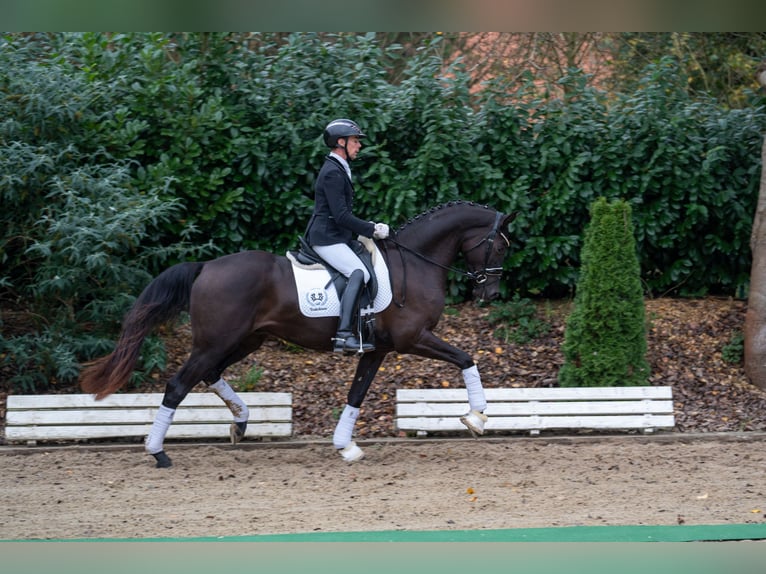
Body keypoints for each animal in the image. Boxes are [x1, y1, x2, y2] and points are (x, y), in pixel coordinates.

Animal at [79, 202, 516, 468]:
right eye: (499, 248)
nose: (491, 294)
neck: (416, 262)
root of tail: (206, 267)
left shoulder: (377, 349)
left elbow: (356, 394)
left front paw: (345, 446)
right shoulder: (414, 339)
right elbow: (466, 359)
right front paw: (476, 417)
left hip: (243, 340)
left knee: (209, 375)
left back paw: (241, 422)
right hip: (216, 342)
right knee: (178, 384)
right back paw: (158, 452)